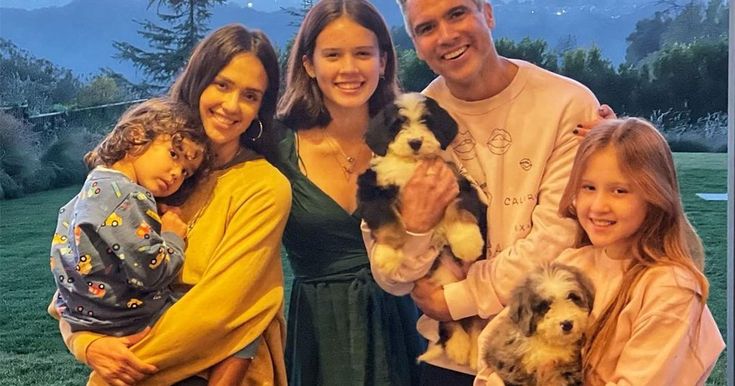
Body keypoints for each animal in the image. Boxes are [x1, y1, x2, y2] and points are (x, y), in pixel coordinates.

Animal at [358, 93, 488, 274]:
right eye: (398, 124)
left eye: (426, 121)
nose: (415, 142)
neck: (413, 162)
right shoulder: (372, 189)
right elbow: (387, 220)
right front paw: (388, 255)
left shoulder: (458, 182)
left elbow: (460, 208)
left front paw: (468, 243)